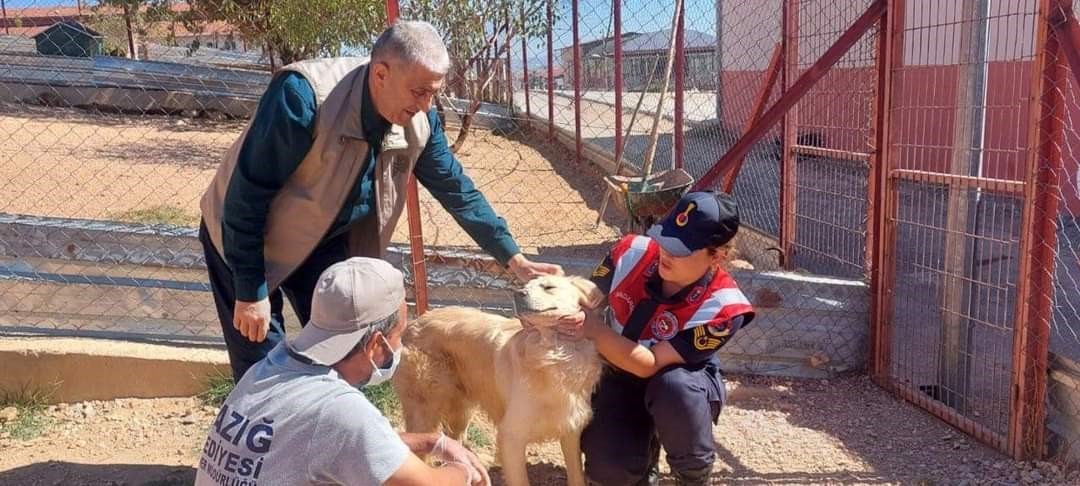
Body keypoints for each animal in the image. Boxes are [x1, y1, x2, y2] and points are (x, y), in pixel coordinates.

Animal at [390, 275, 609, 486]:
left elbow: (576, 476)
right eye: (525, 285)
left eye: (549, 287)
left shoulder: (570, 429)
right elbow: (520, 480)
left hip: (461, 409)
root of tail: (416, 321)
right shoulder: (511, 436)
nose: (517, 293)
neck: (555, 354)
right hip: (425, 409)